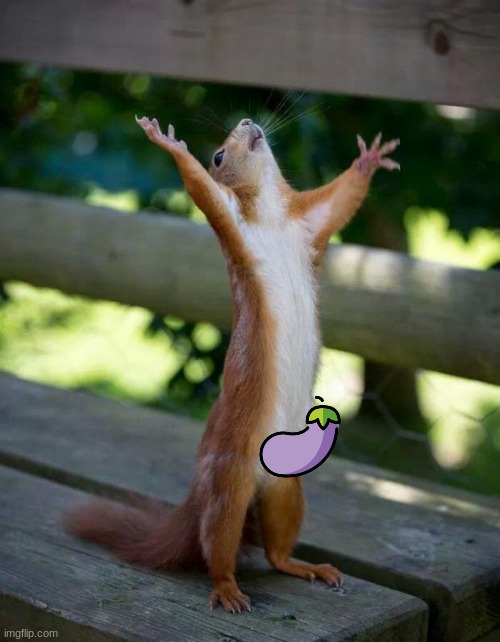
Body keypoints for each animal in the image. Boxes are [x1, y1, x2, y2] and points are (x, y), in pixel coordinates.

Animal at [66, 115, 399, 613]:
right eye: (219, 155)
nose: (247, 121)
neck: (272, 214)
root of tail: (198, 495)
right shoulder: (231, 222)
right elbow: (201, 188)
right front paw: (169, 144)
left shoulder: (309, 222)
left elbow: (340, 201)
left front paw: (369, 159)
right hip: (228, 485)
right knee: (217, 545)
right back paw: (227, 588)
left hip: (286, 489)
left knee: (276, 550)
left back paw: (306, 567)